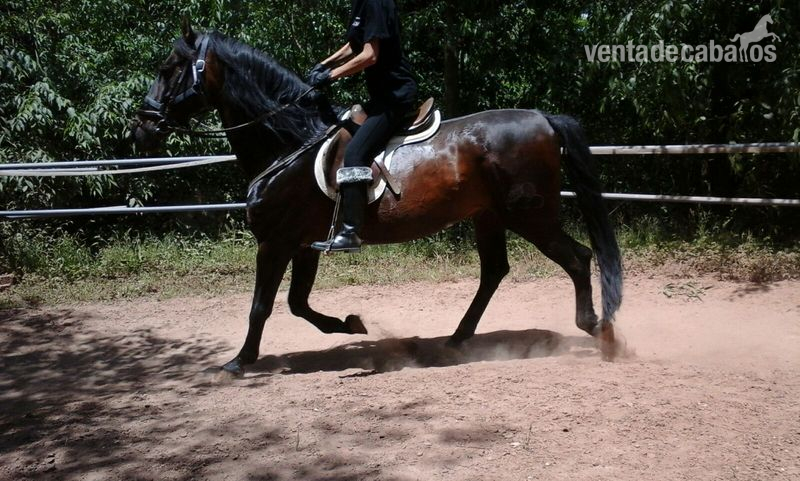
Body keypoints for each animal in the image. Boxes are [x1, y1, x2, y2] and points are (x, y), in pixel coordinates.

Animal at [132, 20, 623, 376]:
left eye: (169, 69)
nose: (141, 127)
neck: (291, 141)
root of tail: (543, 118)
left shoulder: (275, 241)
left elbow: (261, 306)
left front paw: (239, 361)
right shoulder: (302, 244)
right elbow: (297, 303)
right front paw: (351, 324)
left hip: (530, 215)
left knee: (578, 258)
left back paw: (601, 332)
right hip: (488, 215)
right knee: (494, 272)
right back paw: (456, 340)